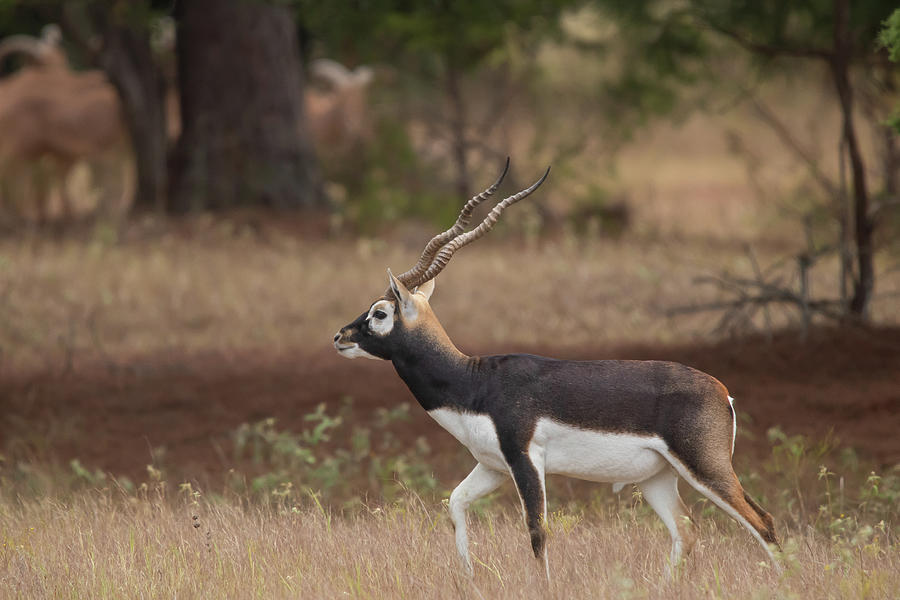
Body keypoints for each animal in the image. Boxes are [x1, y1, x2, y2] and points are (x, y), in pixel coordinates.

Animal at [332, 159, 780, 576]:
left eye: (379, 312)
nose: (340, 336)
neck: (475, 382)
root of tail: (723, 392)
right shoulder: (492, 465)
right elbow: (455, 504)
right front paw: (469, 578)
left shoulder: (525, 459)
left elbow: (537, 531)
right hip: (658, 477)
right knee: (686, 532)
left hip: (706, 468)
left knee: (764, 522)